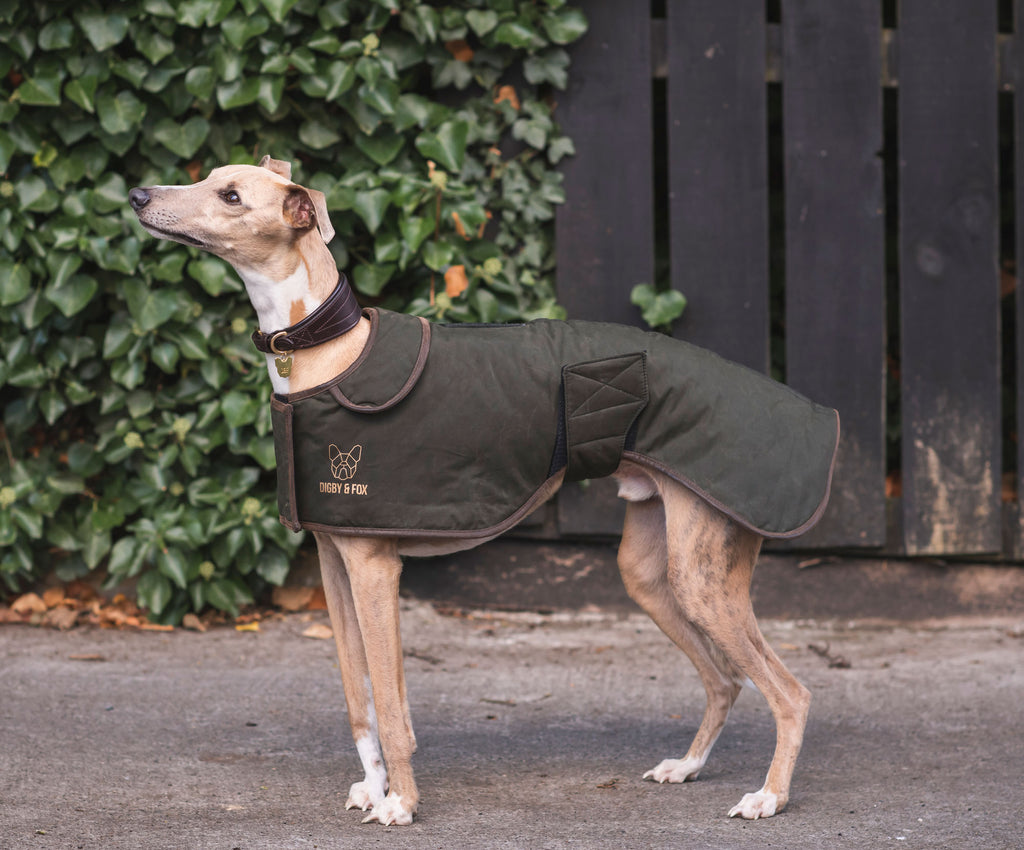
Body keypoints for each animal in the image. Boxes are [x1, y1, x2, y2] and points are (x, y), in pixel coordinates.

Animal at [130, 156, 831, 827]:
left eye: (231, 197)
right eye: (207, 176)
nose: (137, 196)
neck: (329, 351)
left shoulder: (374, 567)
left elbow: (391, 708)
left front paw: (403, 804)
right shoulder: (334, 564)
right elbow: (360, 700)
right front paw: (374, 787)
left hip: (701, 576)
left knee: (790, 692)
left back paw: (768, 797)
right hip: (652, 573)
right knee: (725, 681)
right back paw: (687, 767)